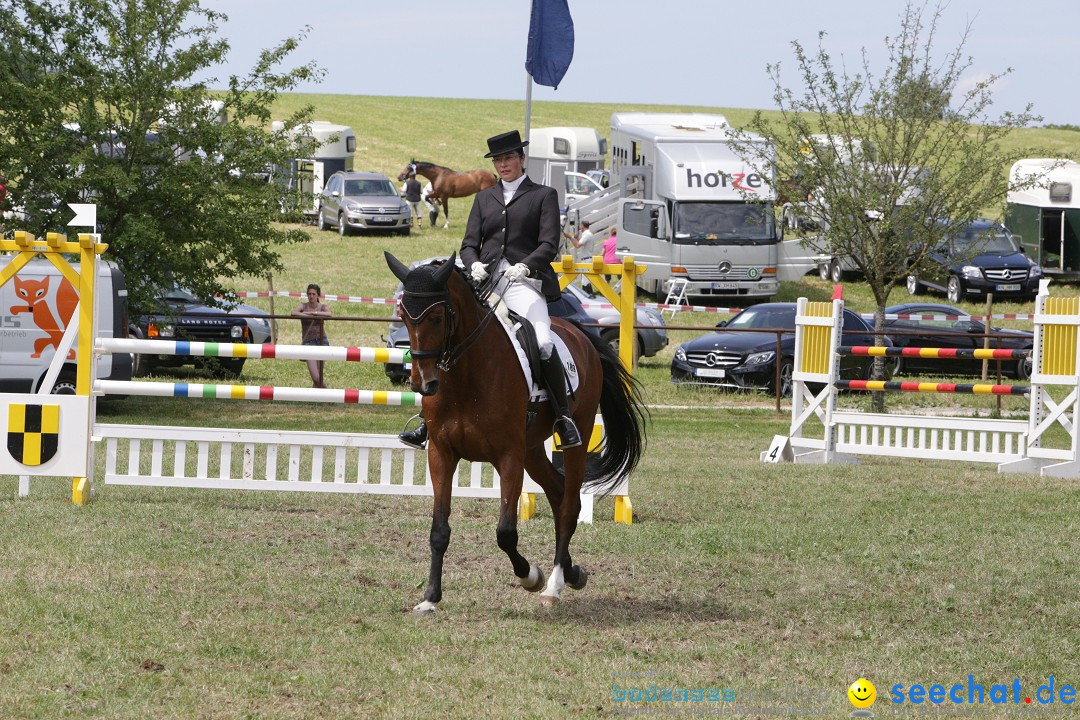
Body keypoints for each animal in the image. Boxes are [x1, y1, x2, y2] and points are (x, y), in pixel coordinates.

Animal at [384, 253, 643, 613]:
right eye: (404, 316)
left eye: (436, 317)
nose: (424, 384)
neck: (466, 377)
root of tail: (579, 335)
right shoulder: (441, 454)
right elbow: (439, 530)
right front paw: (430, 598)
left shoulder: (508, 456)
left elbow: (505, 532)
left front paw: (530, 576)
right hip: (532, 450)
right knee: (557, 491)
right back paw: (572, 571)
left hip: (573, 438)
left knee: (569, 505)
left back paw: (554, 586)